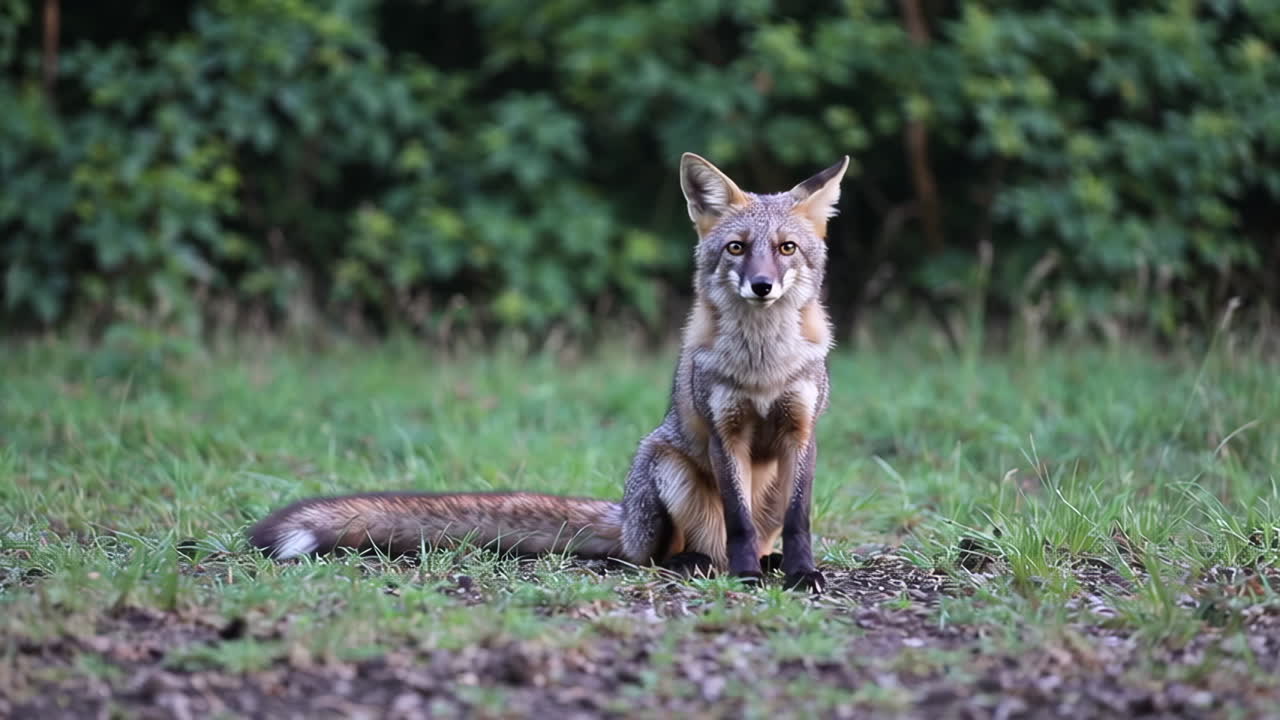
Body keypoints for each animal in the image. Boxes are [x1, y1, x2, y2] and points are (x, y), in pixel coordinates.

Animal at [249, 152, 849, 592]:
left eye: (786, 249)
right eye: (737, 248)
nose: (762, 286)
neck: (763, 368)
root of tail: (624, 517)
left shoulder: (802, 431)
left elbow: (799, 521)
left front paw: (801, 574)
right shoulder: (725, 432)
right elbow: (739, 523)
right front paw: (745, 578)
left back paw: (767, 564)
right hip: (666, 465)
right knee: (654, 555)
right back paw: (700, 564)